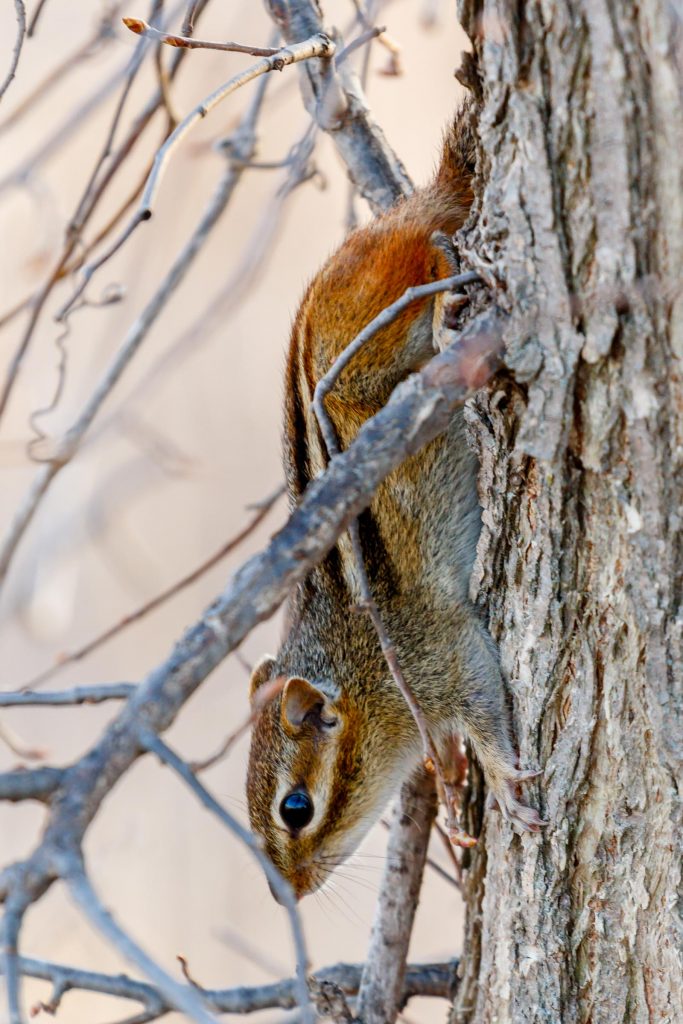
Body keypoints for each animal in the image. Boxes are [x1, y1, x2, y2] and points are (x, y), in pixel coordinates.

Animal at [246, 103, 544, 901]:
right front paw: (455, 775)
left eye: (294, 808)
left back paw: (444, 293)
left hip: (366, 368)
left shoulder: (437, 651)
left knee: (435, 259)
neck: (357, 668)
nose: (285, 893)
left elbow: (485, 703)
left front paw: (501, 778)